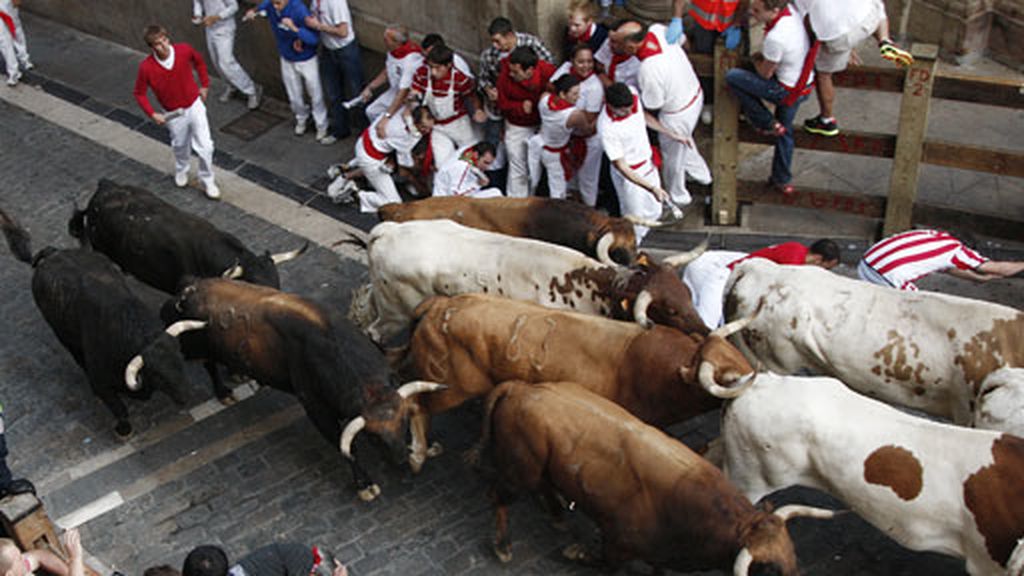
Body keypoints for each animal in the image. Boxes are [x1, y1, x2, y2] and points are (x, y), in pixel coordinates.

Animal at [163, 276, 444, 498]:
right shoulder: (315, 407)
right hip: (196, 346)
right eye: (373, 437)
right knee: (209, 365)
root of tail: (189, 288)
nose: (401, 459)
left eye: (404, 421)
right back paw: (223, 392)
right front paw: (364, 485)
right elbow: (345, 447)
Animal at [479, 379, 831, 569]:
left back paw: (555, 514)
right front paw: (575, 552)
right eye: (768, 569)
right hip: (519, 470)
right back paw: (502, 545)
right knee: (498, 495)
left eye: (794, 556)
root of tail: (521, 388)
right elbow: (602, 560)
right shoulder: (618, 545)